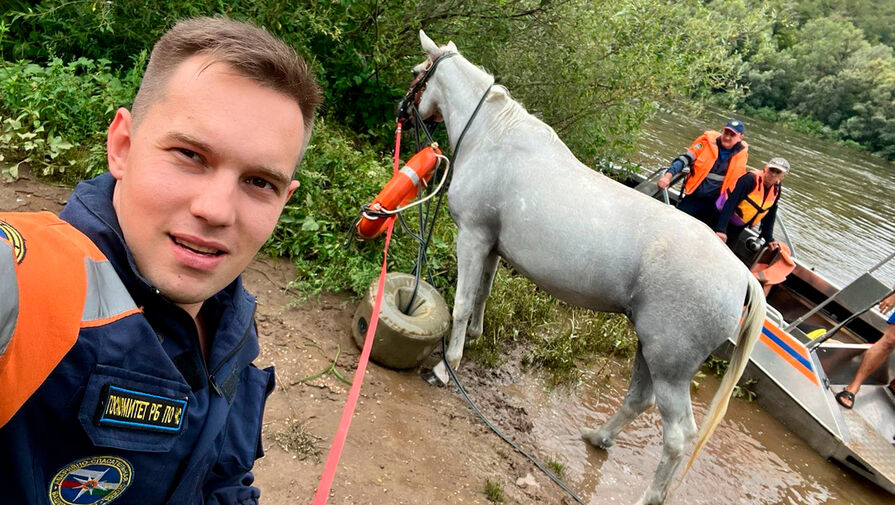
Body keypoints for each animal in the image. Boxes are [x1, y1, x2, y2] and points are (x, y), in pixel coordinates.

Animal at [410, 32, 768, 504]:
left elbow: (464, 300)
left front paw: (445, 366)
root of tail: (743, 275)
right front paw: (474, 337)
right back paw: (598, 437)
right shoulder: (490, 243)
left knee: (677, 438)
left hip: (670, 366)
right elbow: (484, 293)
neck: (493, 138)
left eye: (418, 73)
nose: (407, 109)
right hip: (649, 350)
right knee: (638, 401)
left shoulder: (471, 236)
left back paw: (647, 494)